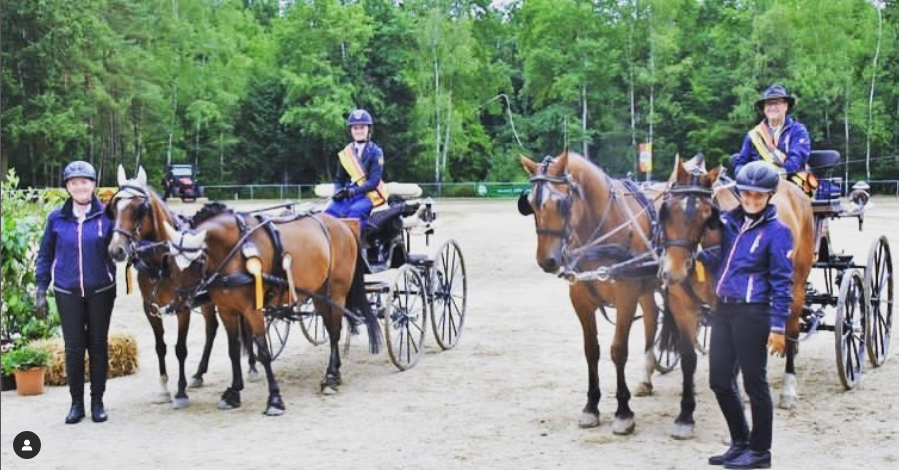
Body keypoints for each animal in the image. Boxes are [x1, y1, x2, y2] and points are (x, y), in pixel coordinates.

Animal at [108, 167, 260, 410]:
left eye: (139, 208)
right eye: (114, 207)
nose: (116, 250)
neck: (162, 261)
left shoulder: (182, 306)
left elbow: (180, 348)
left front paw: (180, 392)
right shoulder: (150, 308)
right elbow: (160, 347)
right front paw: (164, 389)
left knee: (244, 324)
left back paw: (253, 367)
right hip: (209, 299)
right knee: (211, 329)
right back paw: (199, 373)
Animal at [162, 202, 380, 414]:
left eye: (198, 261)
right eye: (169, 261)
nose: (181, 304)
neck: (235, 251)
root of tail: (343, 225)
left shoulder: (253, 310)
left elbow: (264, 351)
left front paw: (274, 399)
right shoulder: (227, 311)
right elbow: (233, 350)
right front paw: (233, 392)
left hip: (337, 292)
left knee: (334, 332)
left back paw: (330, 377)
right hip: (320, 293)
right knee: (330, 327)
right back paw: (336, 372)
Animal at [520, 152, 660, 436]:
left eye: (561, 202)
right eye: (530, 204)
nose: (547, 261)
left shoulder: (626, 297)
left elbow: (618, 350)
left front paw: (623, 412)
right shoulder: (581, 301)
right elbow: (591, 350)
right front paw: (591, 407)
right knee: (652, 318)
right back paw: (646, 377)